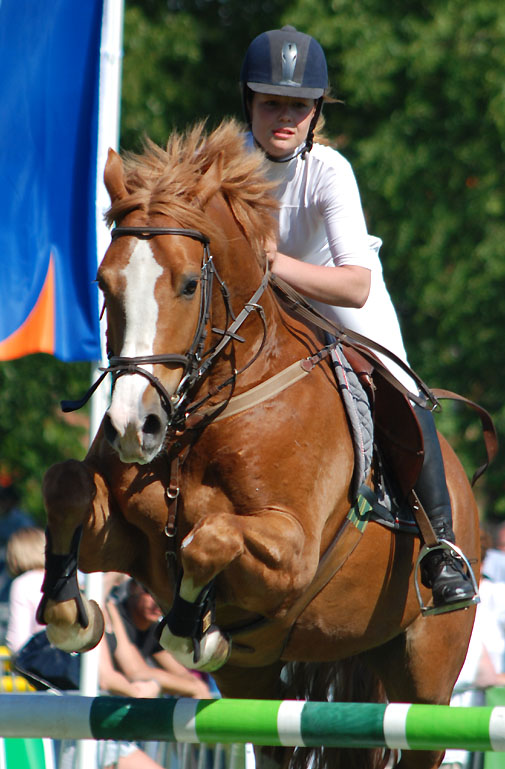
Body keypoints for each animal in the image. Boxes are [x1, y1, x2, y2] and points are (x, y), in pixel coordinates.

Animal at [38, 121, 480, 768]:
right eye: (103, 281)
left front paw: (192, 630)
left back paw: (447, 572)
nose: (133, 428)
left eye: (189, 285)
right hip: (272, 682)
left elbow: (208, 540)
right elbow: (66, 486)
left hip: (426, 675)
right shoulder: (126, 543)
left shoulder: (290, 555)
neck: (202, 417)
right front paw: (69, 614)